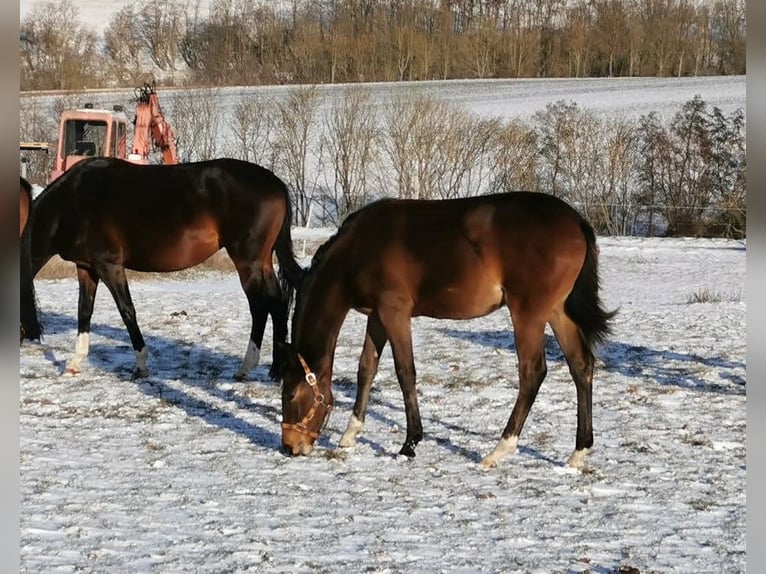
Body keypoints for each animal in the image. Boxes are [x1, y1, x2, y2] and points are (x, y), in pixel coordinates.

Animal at [20, 157, 304, 381]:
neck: (72, 201)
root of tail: (277, 184)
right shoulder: (86, 267)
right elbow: (84, 311)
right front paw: (75, 363)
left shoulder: (109, 265)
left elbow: (127, 311)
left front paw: (140, 365)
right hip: (262, 262)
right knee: (278, 304)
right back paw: (276, 370)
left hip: (248, 263)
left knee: (260, 307)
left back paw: (246, 368)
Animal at [280, 192, 616, 469]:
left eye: (292, 394)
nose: (290, 447)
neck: (359, 247)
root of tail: (575, 221)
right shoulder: (376, 316)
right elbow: (367, 368)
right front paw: (350, 433)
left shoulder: (395, 312)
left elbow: (405, 372)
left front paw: (410, 443)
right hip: (557, 312)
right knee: (581, 365)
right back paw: (578, 452)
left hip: (529, 314)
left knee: (532, 373)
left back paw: (499, 450)